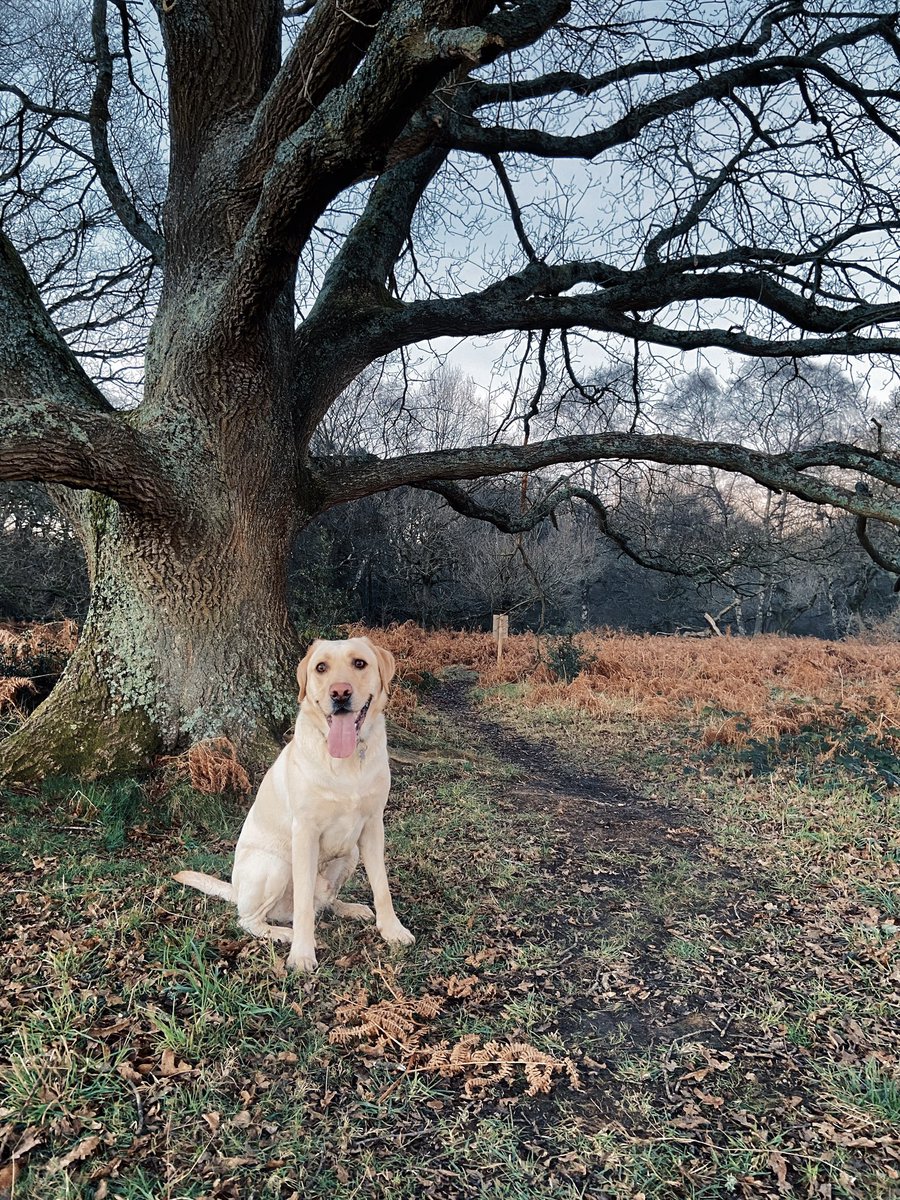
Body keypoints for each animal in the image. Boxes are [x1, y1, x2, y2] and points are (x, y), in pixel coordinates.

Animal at [174, 633, 415, 969]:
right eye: (321, 668)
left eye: (360, 663)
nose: (340, 693)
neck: (346, 762)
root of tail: (235, 890)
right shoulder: (305, 833)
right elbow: (302, 903)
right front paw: (302, 953)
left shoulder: (372, 825)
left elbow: (382, 885)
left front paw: (392, 929)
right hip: (274, 865)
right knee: (250, 919)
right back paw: (281, 933)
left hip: (351, 852)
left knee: (323, 902)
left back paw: (348, 908)